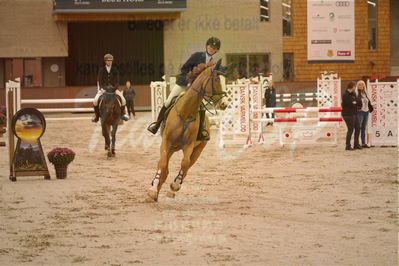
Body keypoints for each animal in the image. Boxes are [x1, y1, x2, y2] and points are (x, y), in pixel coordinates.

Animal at [147, 58, 228, 201]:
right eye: (216, 79)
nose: (224, 104)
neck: (186, 112)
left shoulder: (189, 145)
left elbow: (184, 164)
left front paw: (175, 185)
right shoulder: (166, 141)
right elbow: (162, 165)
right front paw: (153, 190)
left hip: (198, 150)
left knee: (187, 166)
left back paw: (171, 190)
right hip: (171, 147)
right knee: (164, 167)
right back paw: (155, 191)